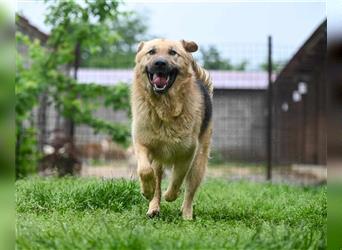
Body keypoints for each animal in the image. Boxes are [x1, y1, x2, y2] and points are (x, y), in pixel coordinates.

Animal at [132, 38, 214, 220]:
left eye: (172, 52)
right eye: (151, 52)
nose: (160, 63)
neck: (165, 108)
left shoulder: (187, 153)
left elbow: (177, 179)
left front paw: (171, 195)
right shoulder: (142, 144)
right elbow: (145, 170)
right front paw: (146, 191)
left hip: (199, 162)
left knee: (190, 191)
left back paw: (187, 214)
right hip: (158, 162)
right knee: (157, 181)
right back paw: (153, 207)